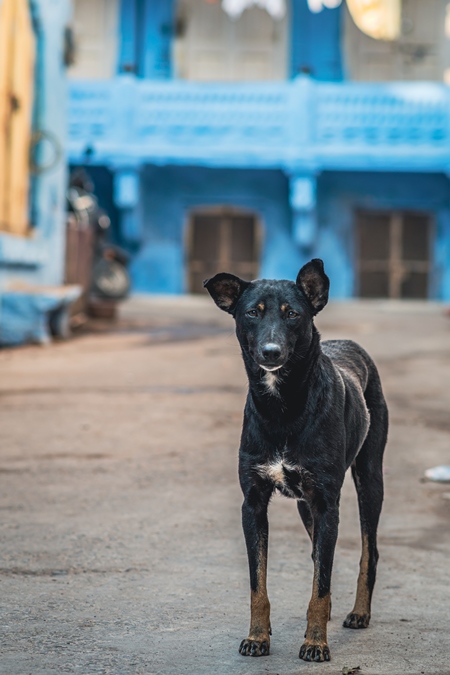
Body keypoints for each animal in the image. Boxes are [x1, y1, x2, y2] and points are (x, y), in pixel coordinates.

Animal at [206, 260, 388, 664]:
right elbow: (259, 584)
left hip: (369, 478)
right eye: (252, 313)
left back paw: (359, 612)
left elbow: (320, 583)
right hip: (308, 506)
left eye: (293, 314)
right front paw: (258, 637)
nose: (271, 352)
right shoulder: (254, 503)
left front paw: (316, 642)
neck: (281, 404)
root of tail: (350, 344)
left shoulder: (326, 503)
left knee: (368, 550)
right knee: (318, 555)